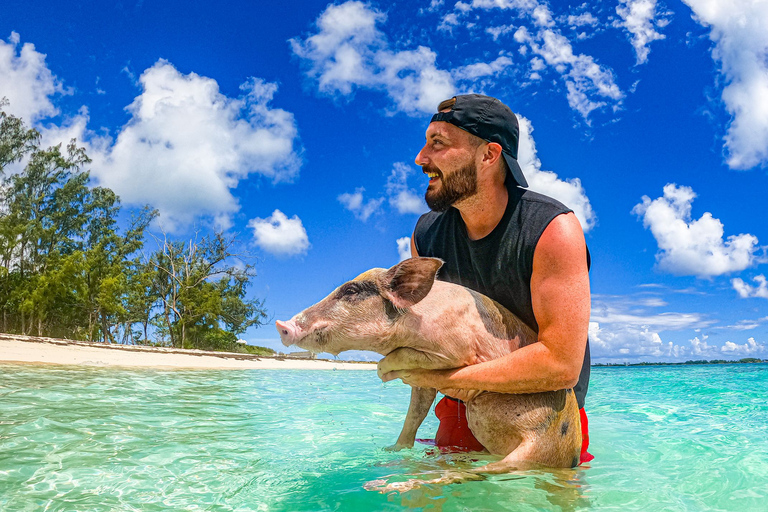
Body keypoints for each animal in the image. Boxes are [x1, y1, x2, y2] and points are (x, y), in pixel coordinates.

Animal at [275, 257, 582, 474]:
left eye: (350, 290)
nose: (281, 324)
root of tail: (569, 456)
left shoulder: (457, 350)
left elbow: (407, 359)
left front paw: (382, 371)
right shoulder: (424, 385)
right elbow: (415, 413)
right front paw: (390, 451)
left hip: (522, 438)